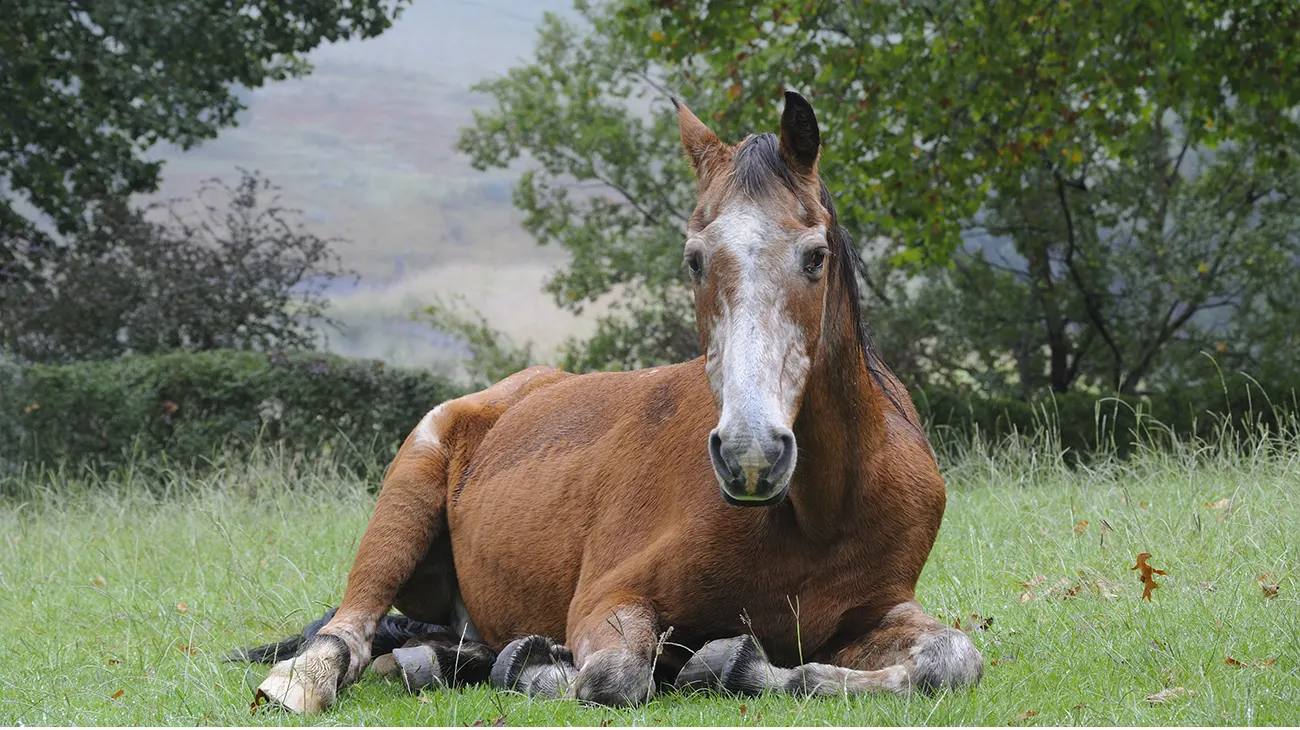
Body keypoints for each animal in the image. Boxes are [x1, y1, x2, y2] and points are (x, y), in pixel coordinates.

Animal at [238, 91, 983, 713]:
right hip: (406, 491)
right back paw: (307, 681)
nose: (750, 455)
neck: (820, 511)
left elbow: (953, 658)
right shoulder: (609, 597)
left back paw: (443, 661)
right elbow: (614, 675)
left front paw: (729, 664)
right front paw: (550, 667)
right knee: (351, 630)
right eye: (694, 259)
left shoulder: (873, 614)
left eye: (815, 256)